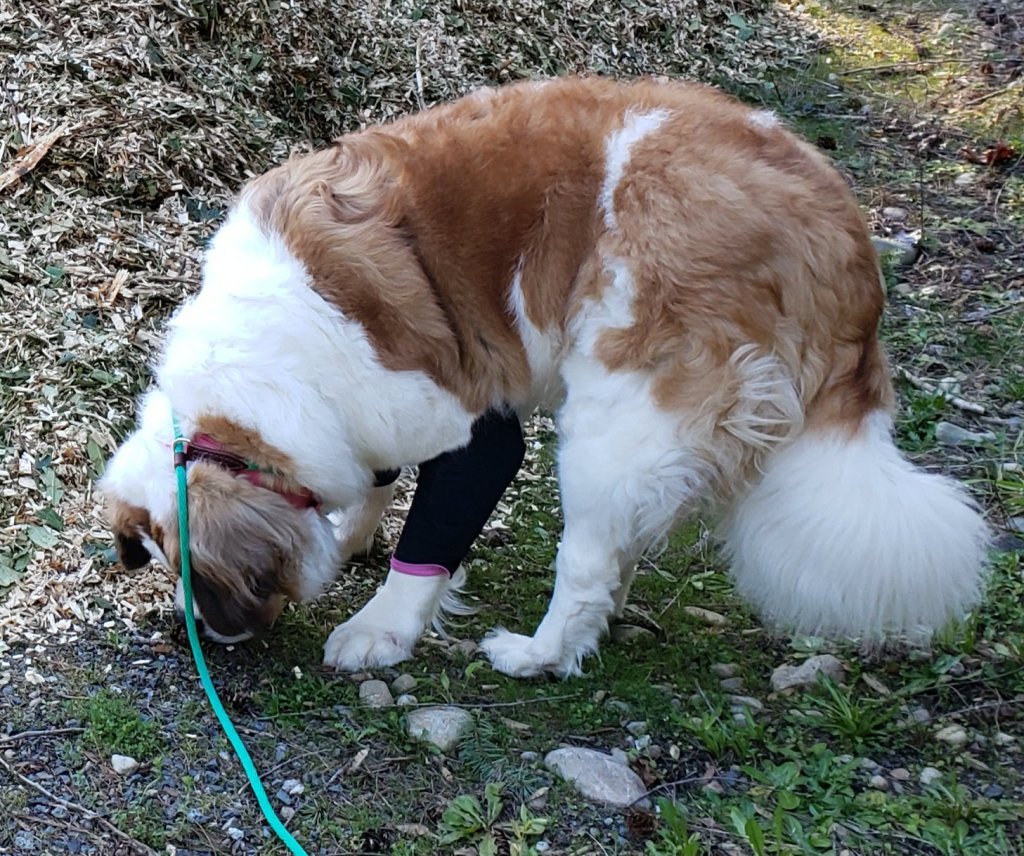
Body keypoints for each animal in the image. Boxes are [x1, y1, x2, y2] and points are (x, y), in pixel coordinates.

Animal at [101, 77, 989, 677]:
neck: (263, 366)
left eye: (205, 575)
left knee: (588, 562)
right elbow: (376, 479)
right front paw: (352, 532)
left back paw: (539, 653)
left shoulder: (470, 433)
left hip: (615, 420)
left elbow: (427, 546)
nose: (206, 633)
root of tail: (836, 223)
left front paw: (381, 627)